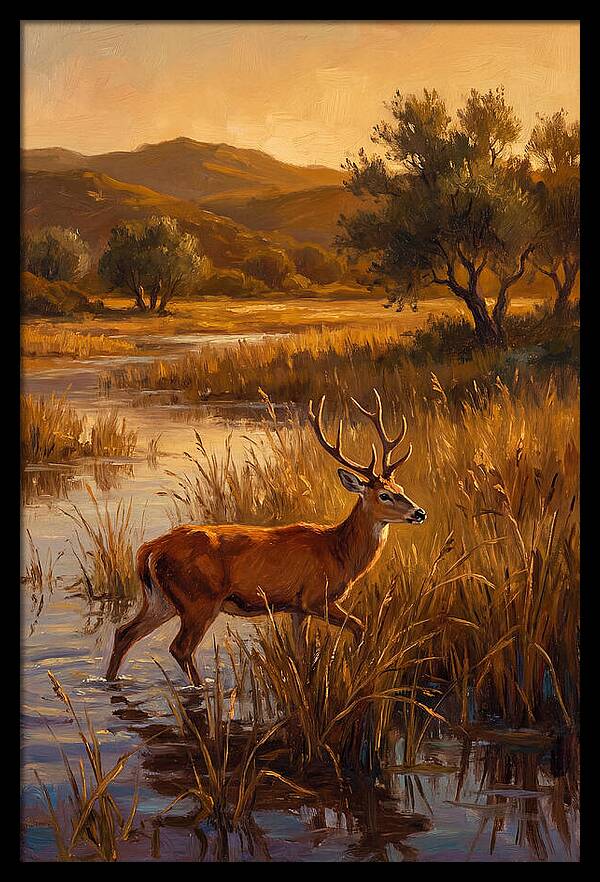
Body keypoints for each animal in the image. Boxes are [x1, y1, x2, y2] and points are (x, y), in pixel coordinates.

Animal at [106, 389, 426, 685]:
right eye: (384, 495)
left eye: (400, 487)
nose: (420, 512)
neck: (340, 553)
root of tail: (149, 550)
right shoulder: (315, 598)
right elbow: (360, 626)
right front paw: (358, 663)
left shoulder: (297, 608)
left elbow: (302, 653)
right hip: (198, 599)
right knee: (179, 648)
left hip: (161, 600)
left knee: (124, 632)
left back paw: (110, 680)